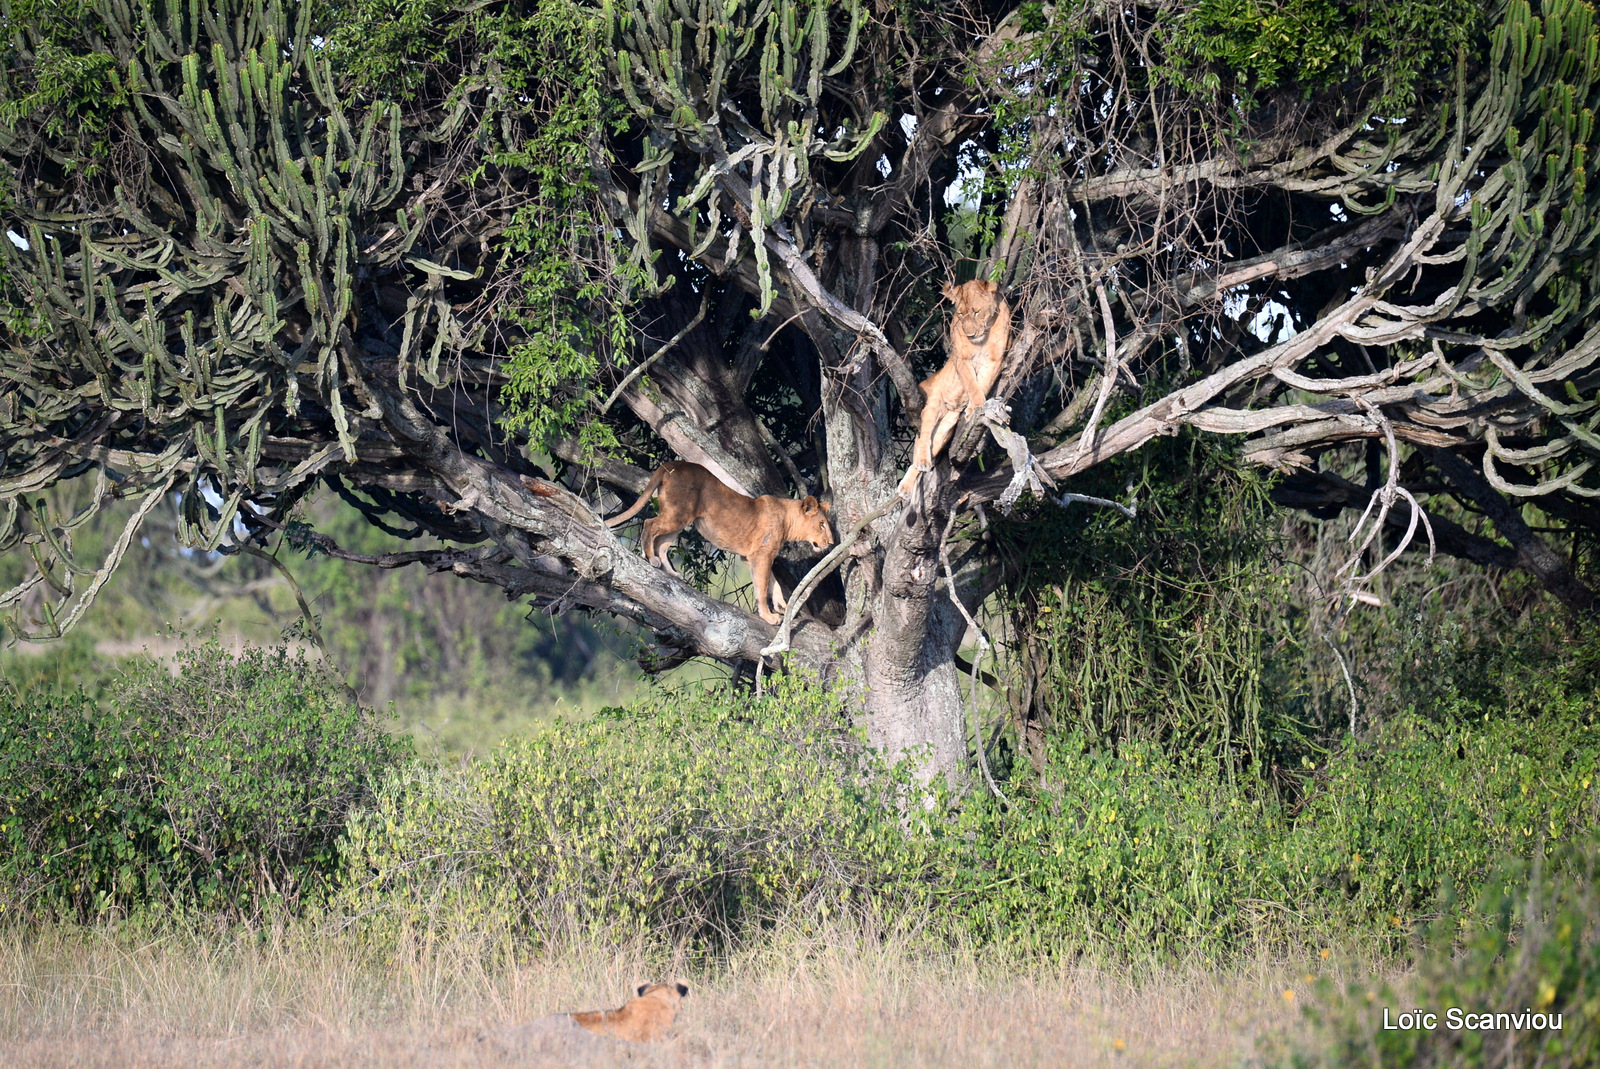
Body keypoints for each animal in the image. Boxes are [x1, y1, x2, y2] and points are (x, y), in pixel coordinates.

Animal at [604, 460, 838, 627]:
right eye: (822, 524)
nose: (831, 541)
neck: (787, 518)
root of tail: (672, 463)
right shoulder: (761, 555)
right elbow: (762, 588)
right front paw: (769, 617)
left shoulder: (753, 556)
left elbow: (773, 583)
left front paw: (781, 605)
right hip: (678, 514)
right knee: (649, 523)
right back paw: (650, 558)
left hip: (683, 519)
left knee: (662, 543)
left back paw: (671, 573)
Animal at [896, 273, 1004, 496]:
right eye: (961, 314)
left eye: (977, 311)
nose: (970, 334)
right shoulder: (962, 357)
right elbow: (971, 383)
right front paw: (977, 405)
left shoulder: (995, 359)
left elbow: (983, 383)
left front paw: (975, 407)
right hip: (932, 404)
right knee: (923, 437)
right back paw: (919, 465)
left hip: (947, 426)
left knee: (931, 443)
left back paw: (909, 483)